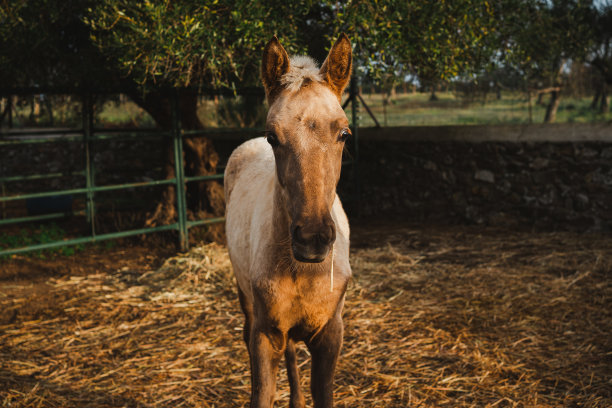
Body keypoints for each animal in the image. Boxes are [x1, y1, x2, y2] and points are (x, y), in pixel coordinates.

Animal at [224, 33, 354, 406]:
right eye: (273, 136)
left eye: (344, 133)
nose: (313, 239)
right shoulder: (265, 333)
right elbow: (262, 393)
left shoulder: (330, 334)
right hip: (247, 303)